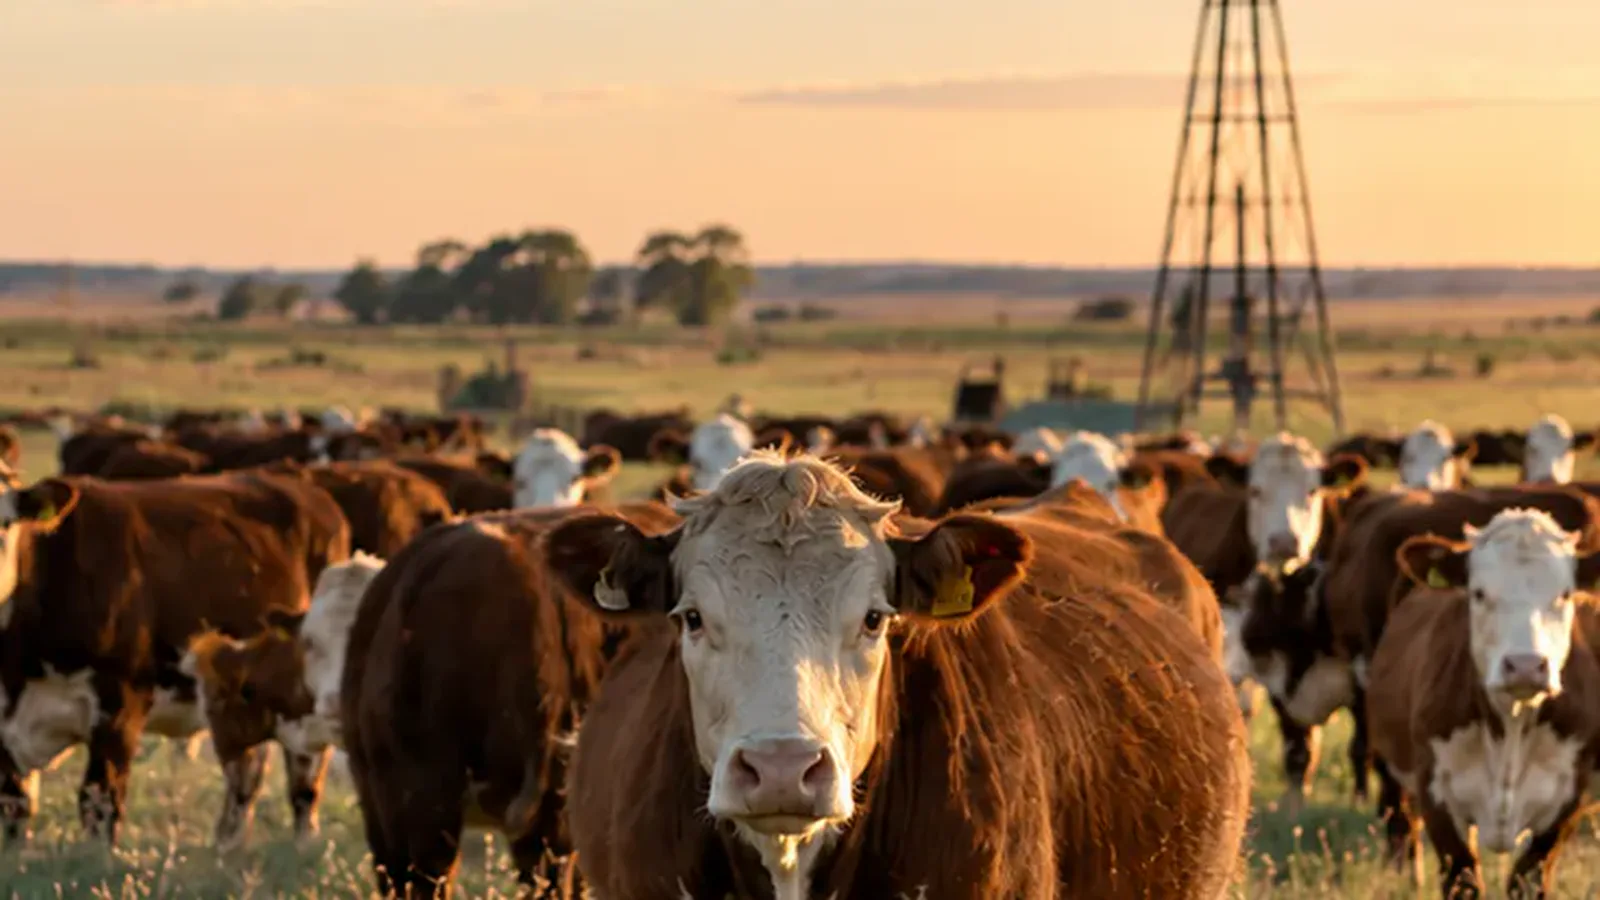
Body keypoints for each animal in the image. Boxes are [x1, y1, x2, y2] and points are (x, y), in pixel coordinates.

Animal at [0, 470, 350, 846]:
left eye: (5, 524)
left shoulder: (121, 705)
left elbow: (100, 804)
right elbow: (14, 807)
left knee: (305, 779)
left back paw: (302, 844)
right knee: (247, 771)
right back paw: (228, 845)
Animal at [1368, 509, 1600, 899]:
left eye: (1565, 594)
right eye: (1478, 593)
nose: (1525, 664)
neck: (1511, 726)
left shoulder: (1567, 803)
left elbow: (1528, 880)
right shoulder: (1436, 795)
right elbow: (1463, 881)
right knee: (1403, 819)